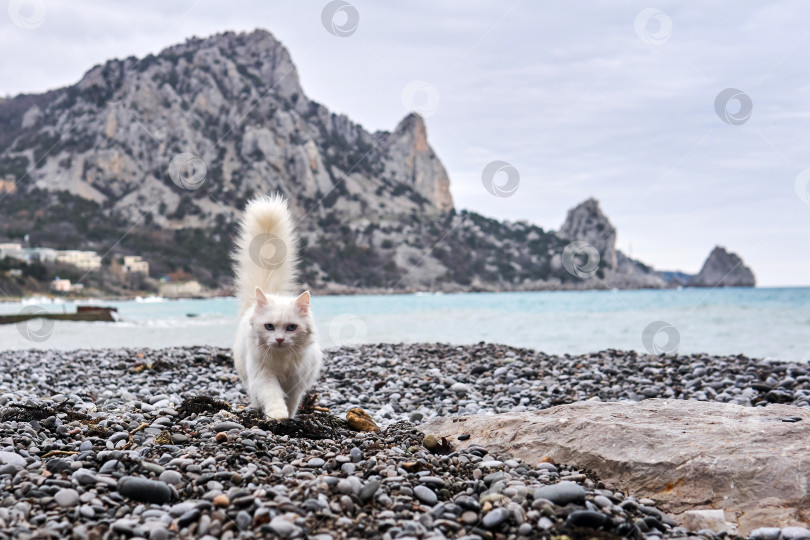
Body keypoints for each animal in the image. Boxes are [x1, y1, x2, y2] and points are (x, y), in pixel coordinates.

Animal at [229, 195, 320, 422]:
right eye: (269, 326)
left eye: (291, 327)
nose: (279, 339)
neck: (282, 360)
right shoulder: (264, 376)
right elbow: (272, 396)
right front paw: (277, 415)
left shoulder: (296, 382)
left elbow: (292, 401)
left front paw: (289, 416)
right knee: (254, 394)